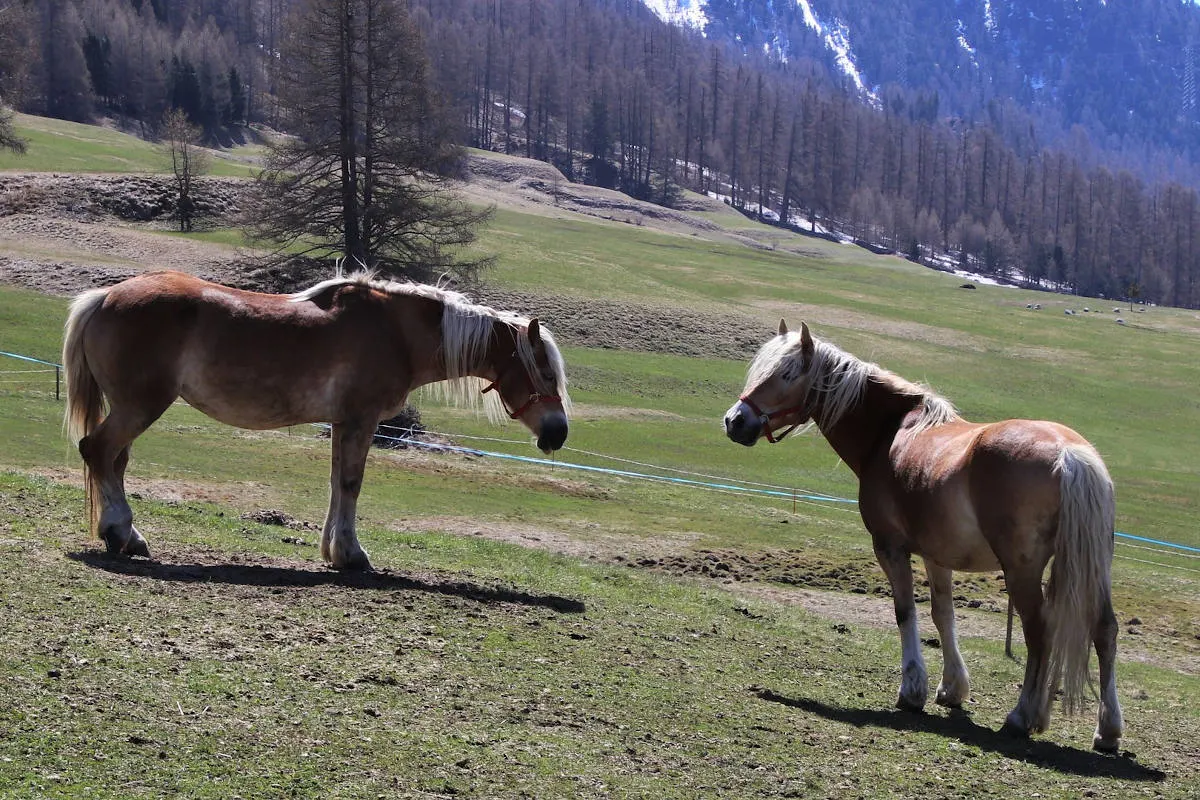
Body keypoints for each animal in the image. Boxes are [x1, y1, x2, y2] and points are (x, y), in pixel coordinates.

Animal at [63, 270, 571, 571]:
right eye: (546, 372)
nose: (558, 432)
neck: (395, 332)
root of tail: (105, 295)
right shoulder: (361, 420)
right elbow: (350, 484)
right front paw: (351, 554)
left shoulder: (343, 424)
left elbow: (335, 483)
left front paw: (333, 550)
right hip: (140, 406)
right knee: (98, 451)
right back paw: (120, 533)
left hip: (133, 408)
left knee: (114, 461)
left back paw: (126, 536)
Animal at [723, 320, 1122, 753]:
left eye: (787, 374)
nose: (735, 420)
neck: (889, 432)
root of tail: (1070, 455)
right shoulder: (937, 556)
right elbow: (943, 615)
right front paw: (952, 689)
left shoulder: (890, 547)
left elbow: (905, 612)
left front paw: (912, 689)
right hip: (1092, 570)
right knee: (1104, 630)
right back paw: (1106, 730)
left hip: (1023, 572)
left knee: (1039, 631)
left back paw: (1022, 716)